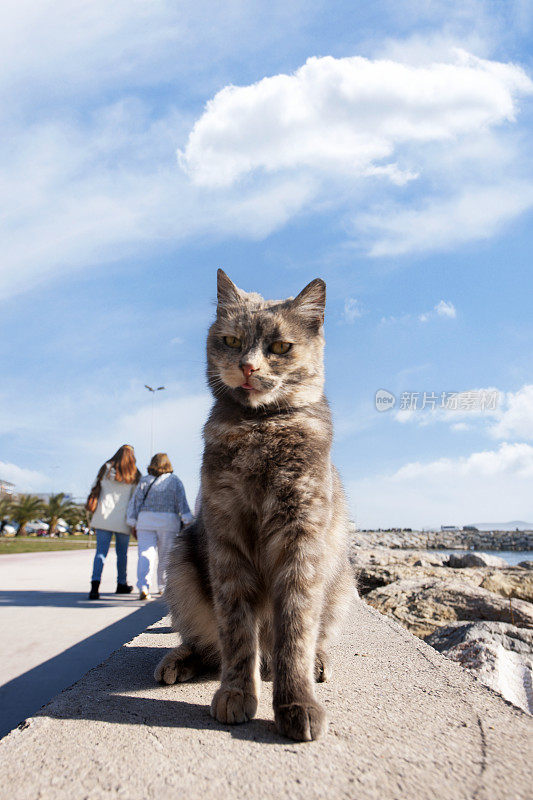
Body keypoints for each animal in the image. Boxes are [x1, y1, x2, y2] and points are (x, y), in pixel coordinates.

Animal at [154, 270, 354, 744]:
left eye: (280, 347)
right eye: (230, 340)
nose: (248, 366)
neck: (260, 430)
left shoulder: (301, 539)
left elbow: (295, 633)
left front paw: (296, 704)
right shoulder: (226, 537)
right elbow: (236, 630)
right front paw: (237, 694)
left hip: (341, 584)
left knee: (315, 637)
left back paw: (319, 663)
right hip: (182, 567)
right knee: (205, 644)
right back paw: (176, 662)